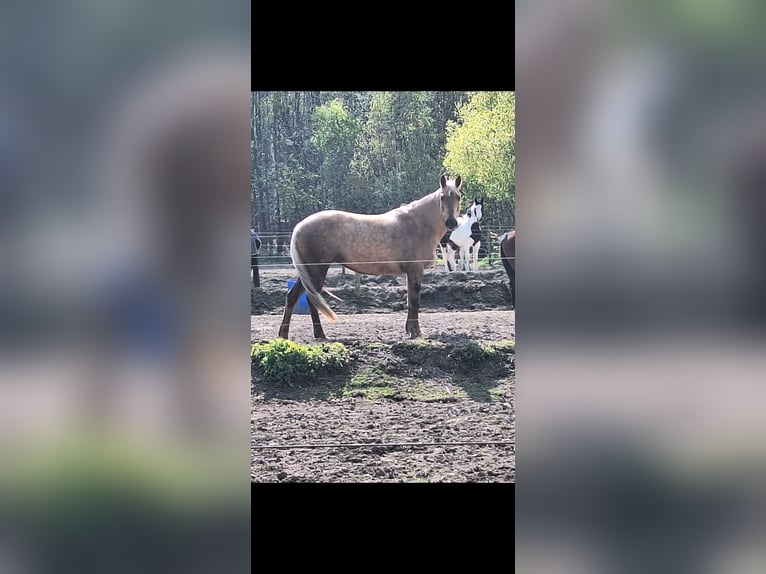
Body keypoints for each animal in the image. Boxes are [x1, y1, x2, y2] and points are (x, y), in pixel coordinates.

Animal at [278, 175, 463, 340]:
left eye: (458, 196)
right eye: (442, 197)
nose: (451, 223)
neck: (419, 224)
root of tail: (299, 227)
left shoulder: (411, 273)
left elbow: (410, 301)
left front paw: (410, 330)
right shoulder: (415, 271)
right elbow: (415, 301)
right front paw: (416, 332)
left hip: (309, 272)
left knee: (293, 297)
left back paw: (287, 334)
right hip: (316, 270)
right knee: (310, 299)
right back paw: (317, 334)